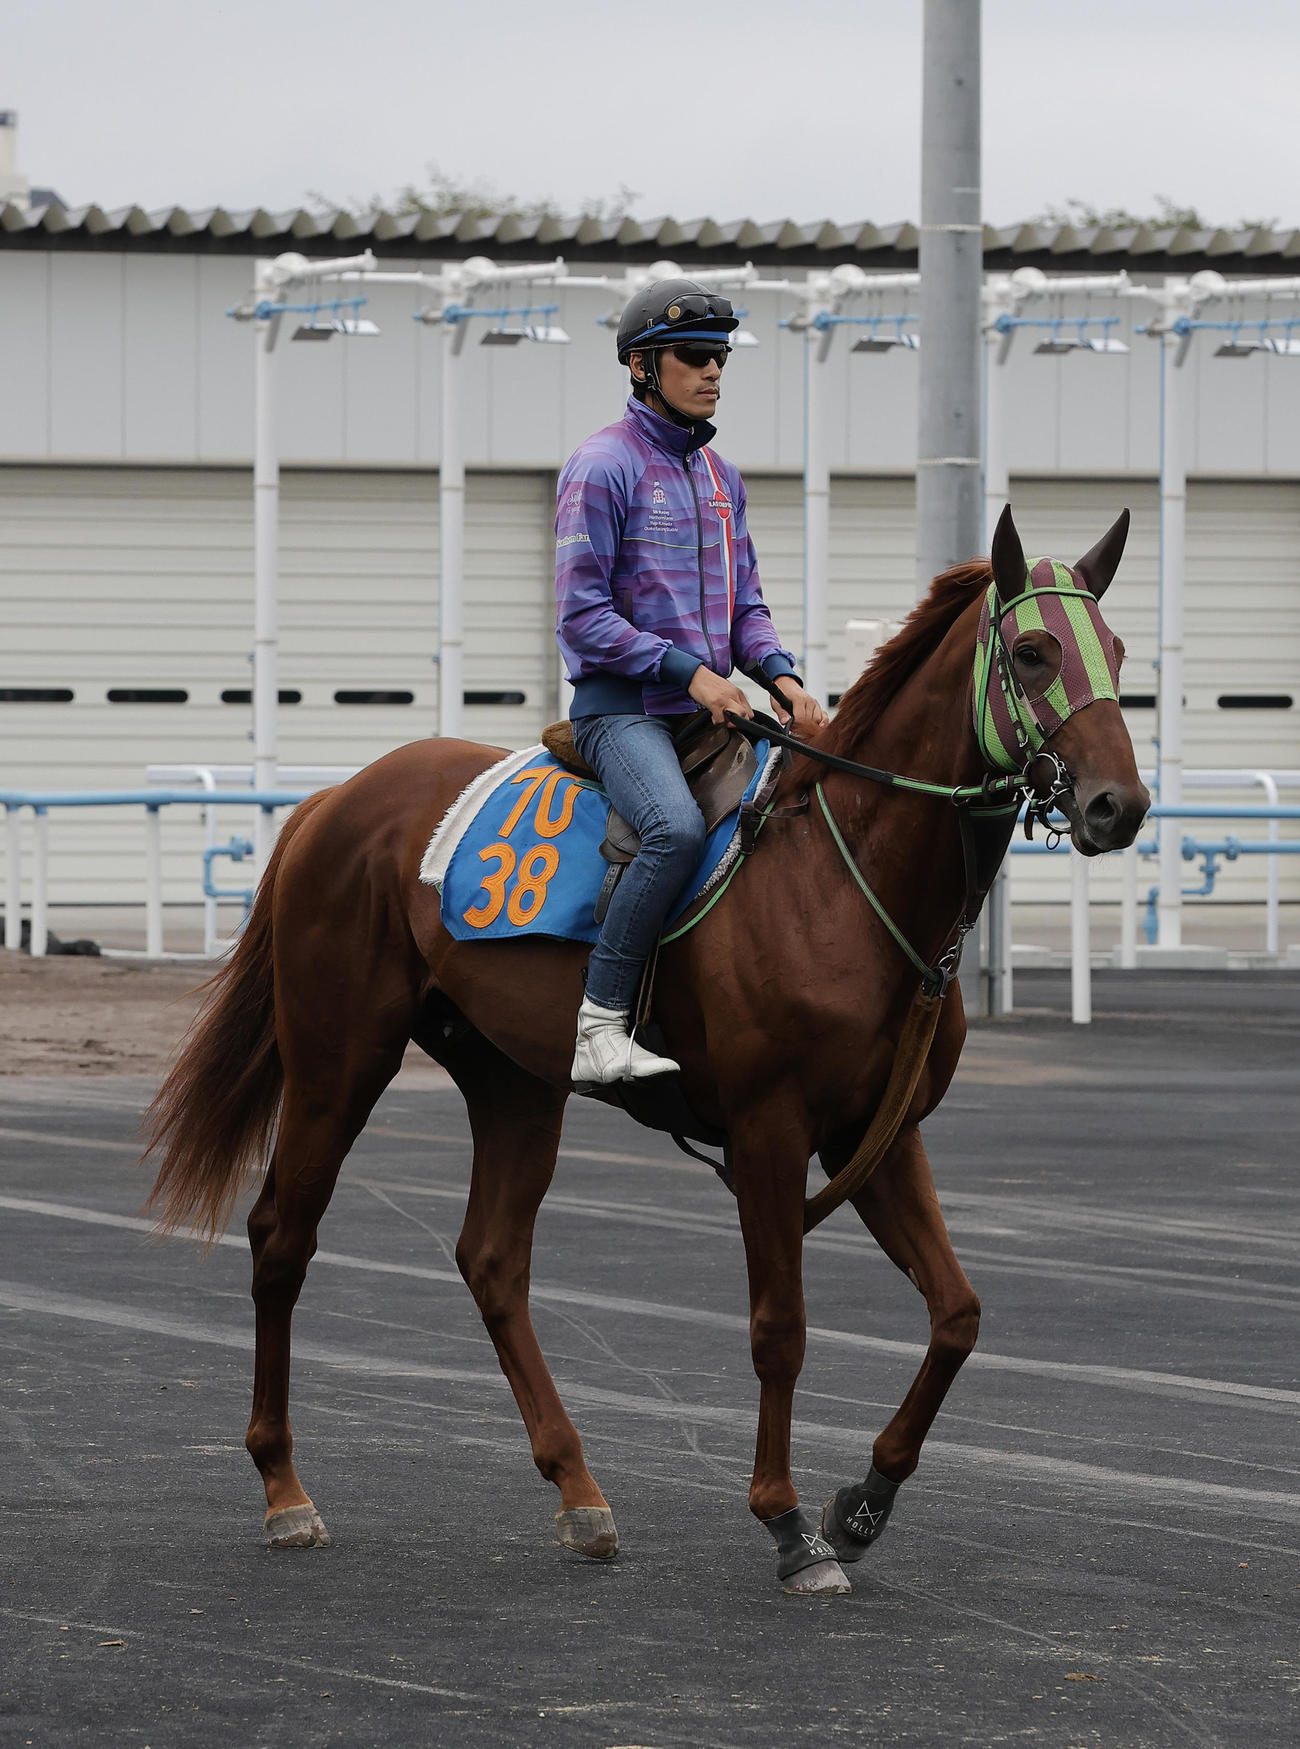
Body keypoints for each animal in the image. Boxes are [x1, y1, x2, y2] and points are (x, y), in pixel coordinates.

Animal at [144, 504, 1149, 1596]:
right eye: (1034, 651)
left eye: (1119, 651)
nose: (1119, 804)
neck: (842, 870)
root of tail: (333, 802)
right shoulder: (768, 1130)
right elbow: (780, 1328)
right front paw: (787, 1523)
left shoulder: (874, 1137)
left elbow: (957, 1314)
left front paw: (861, 1503)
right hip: (339, 1058)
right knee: (283, 1234)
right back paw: (285, 1490)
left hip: (514, 1080)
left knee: (492, 1259)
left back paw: (579, 1490)